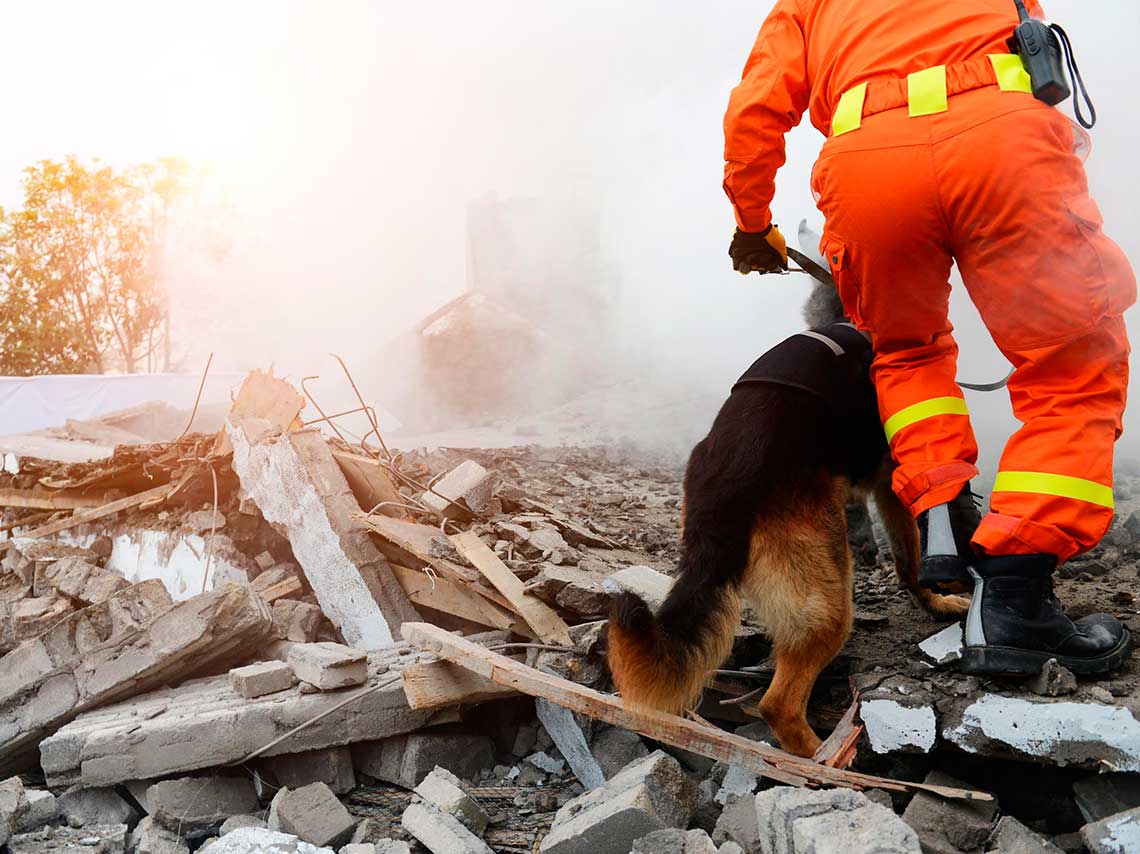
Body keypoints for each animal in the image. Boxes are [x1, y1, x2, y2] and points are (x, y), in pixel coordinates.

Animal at [611, 281, 966, 752]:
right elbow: (911, 557)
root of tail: (722, 496)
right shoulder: (894, 481)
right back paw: (825, 759)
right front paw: (938, 599)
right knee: (778, 704)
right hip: (827, 600)